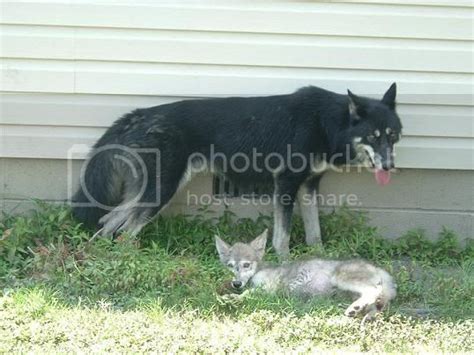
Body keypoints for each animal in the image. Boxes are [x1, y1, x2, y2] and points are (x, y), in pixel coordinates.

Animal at [72, 84, 402, 258]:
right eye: (373, 136)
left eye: (392, 135)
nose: (389, 166)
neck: (326, 123)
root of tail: (138, 115)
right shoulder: (285, 184)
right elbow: (282, 237)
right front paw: (285, 264)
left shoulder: (308, 186)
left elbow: (314, 232)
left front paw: (320, 259)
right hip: (160, 191)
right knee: (125, 230)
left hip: (149, 192)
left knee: (108, 221)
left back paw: (100, 255)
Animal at [215, 231, 396, 320]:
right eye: (230, 266)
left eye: (246, 265)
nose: (236, 283)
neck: (259, 270)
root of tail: (380, 269)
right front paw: (227, 291)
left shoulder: (269, 289)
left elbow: (247, 293)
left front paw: (230, 298)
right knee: (378, 305)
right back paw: (365, 314)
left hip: (341, 277)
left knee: (374, 290)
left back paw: (355, 308)